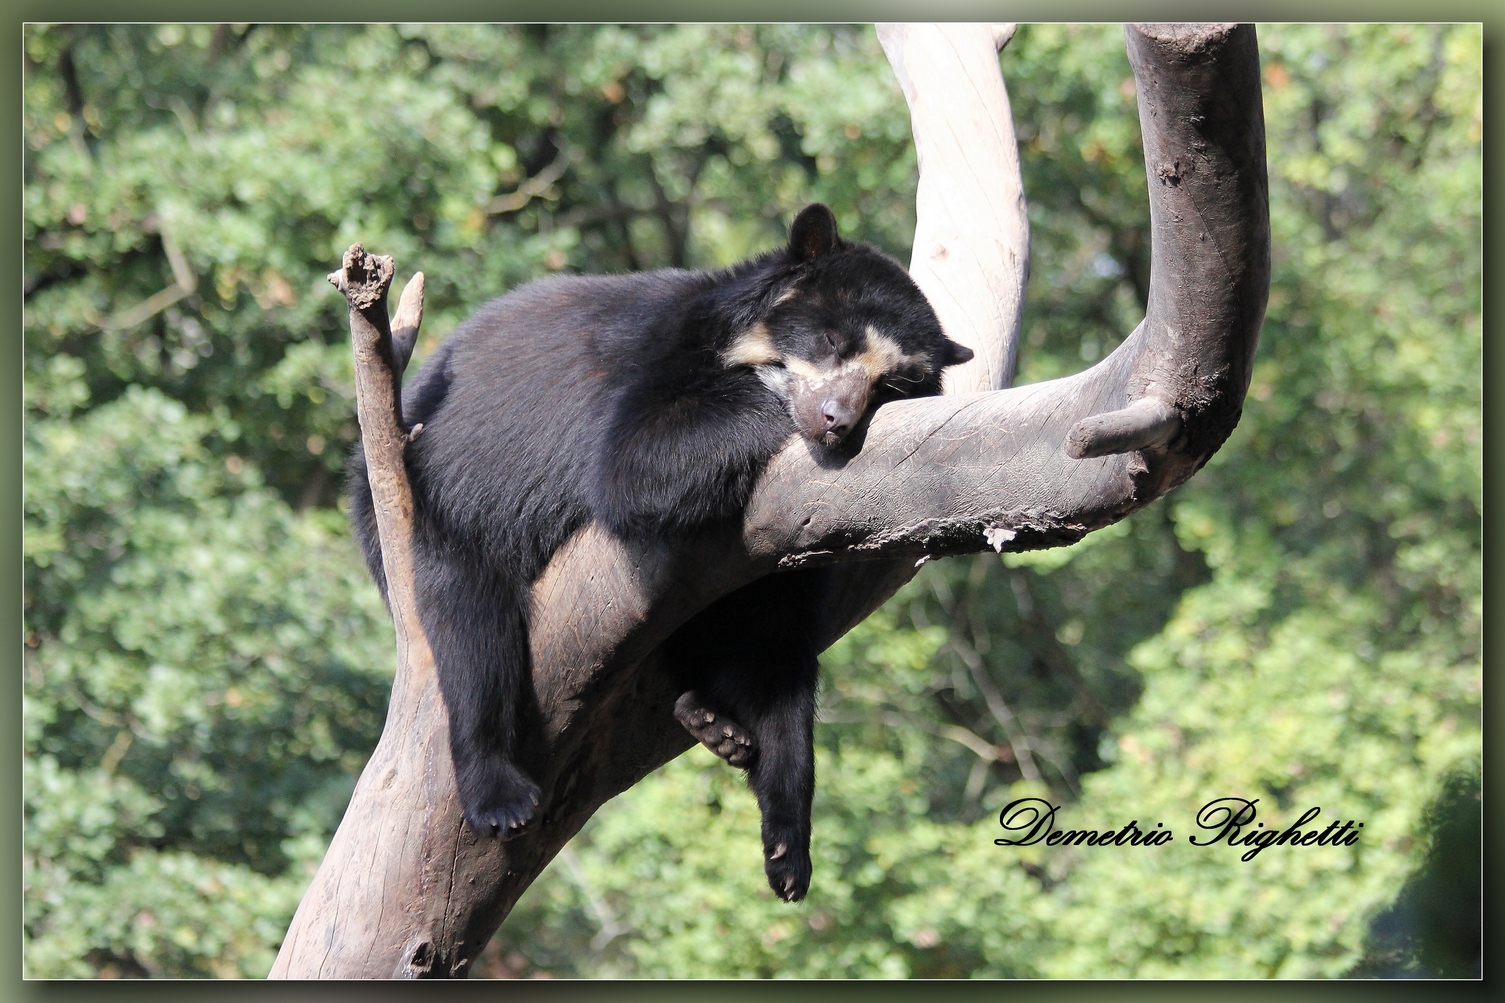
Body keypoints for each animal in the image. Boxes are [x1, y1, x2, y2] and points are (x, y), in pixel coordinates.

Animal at [348, 204, 972, 902]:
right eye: (834, 342)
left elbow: (778, 654)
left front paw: (788, 847)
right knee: (470, 632)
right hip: (441, 504)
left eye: (893, 383)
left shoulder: (775, 565)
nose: (835, 419)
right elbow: (635, 462)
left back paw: (715, 727)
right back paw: (501, 796)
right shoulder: (653, 364)